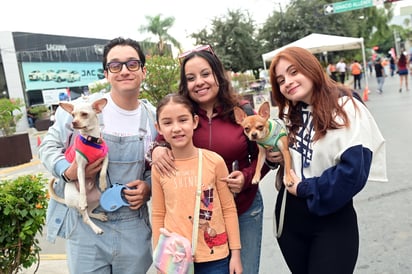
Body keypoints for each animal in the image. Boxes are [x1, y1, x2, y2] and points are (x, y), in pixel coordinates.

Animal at [48, 97, 108, 234]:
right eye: (72, 115)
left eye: (84, 114)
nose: (73, 122)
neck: (91, 140)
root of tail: (67, 200)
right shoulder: (80, 168)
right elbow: (82, 184)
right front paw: (83, 196)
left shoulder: (106, 157)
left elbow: (103, 171)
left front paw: (103, 183)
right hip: (76, 199)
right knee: (85, 217)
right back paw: (96, 228)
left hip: (98, 198)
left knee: (89, 213)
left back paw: (98, 216)